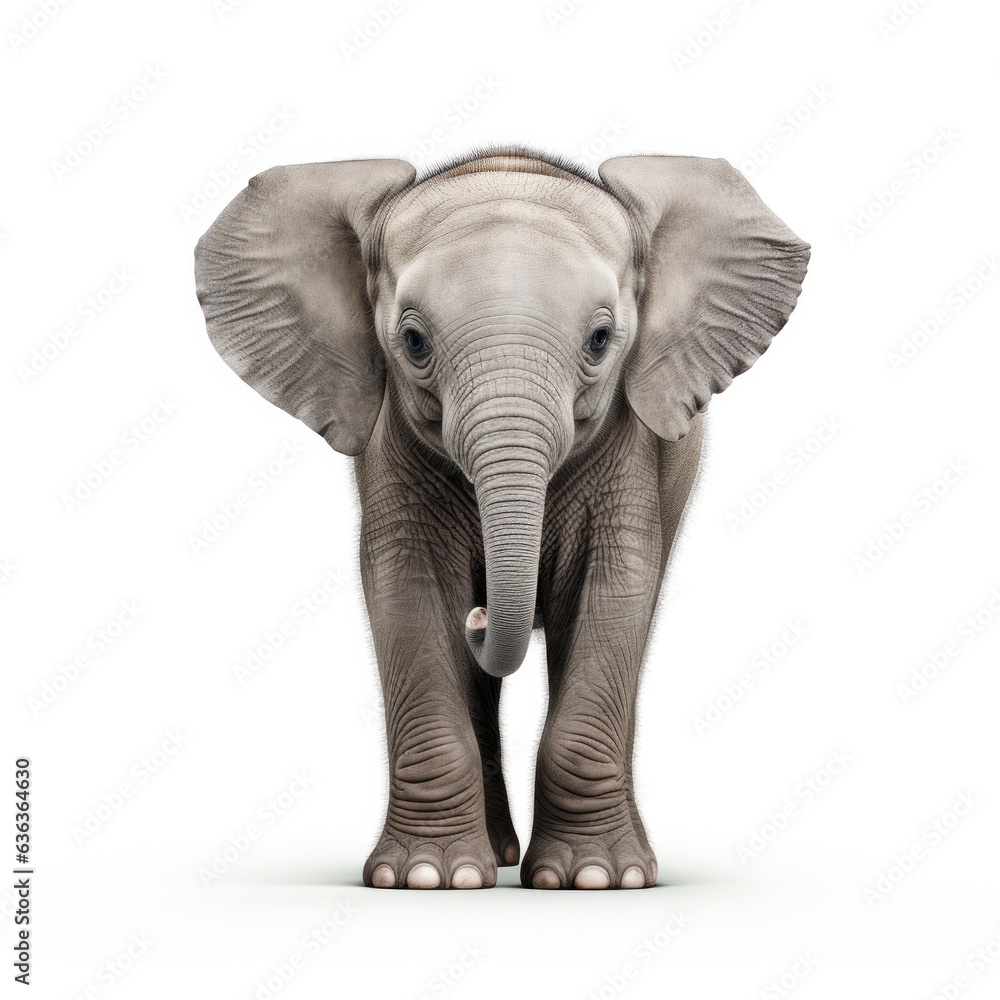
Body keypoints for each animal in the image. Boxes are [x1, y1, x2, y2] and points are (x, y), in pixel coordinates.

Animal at [194, 148, 809, 890]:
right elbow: (410, 592)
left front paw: (595, 879)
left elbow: (616, 588)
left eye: (601, 339)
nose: (483, 613)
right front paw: (429, 879)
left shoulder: (632, 443)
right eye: (413, 342)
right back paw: (493, 856)